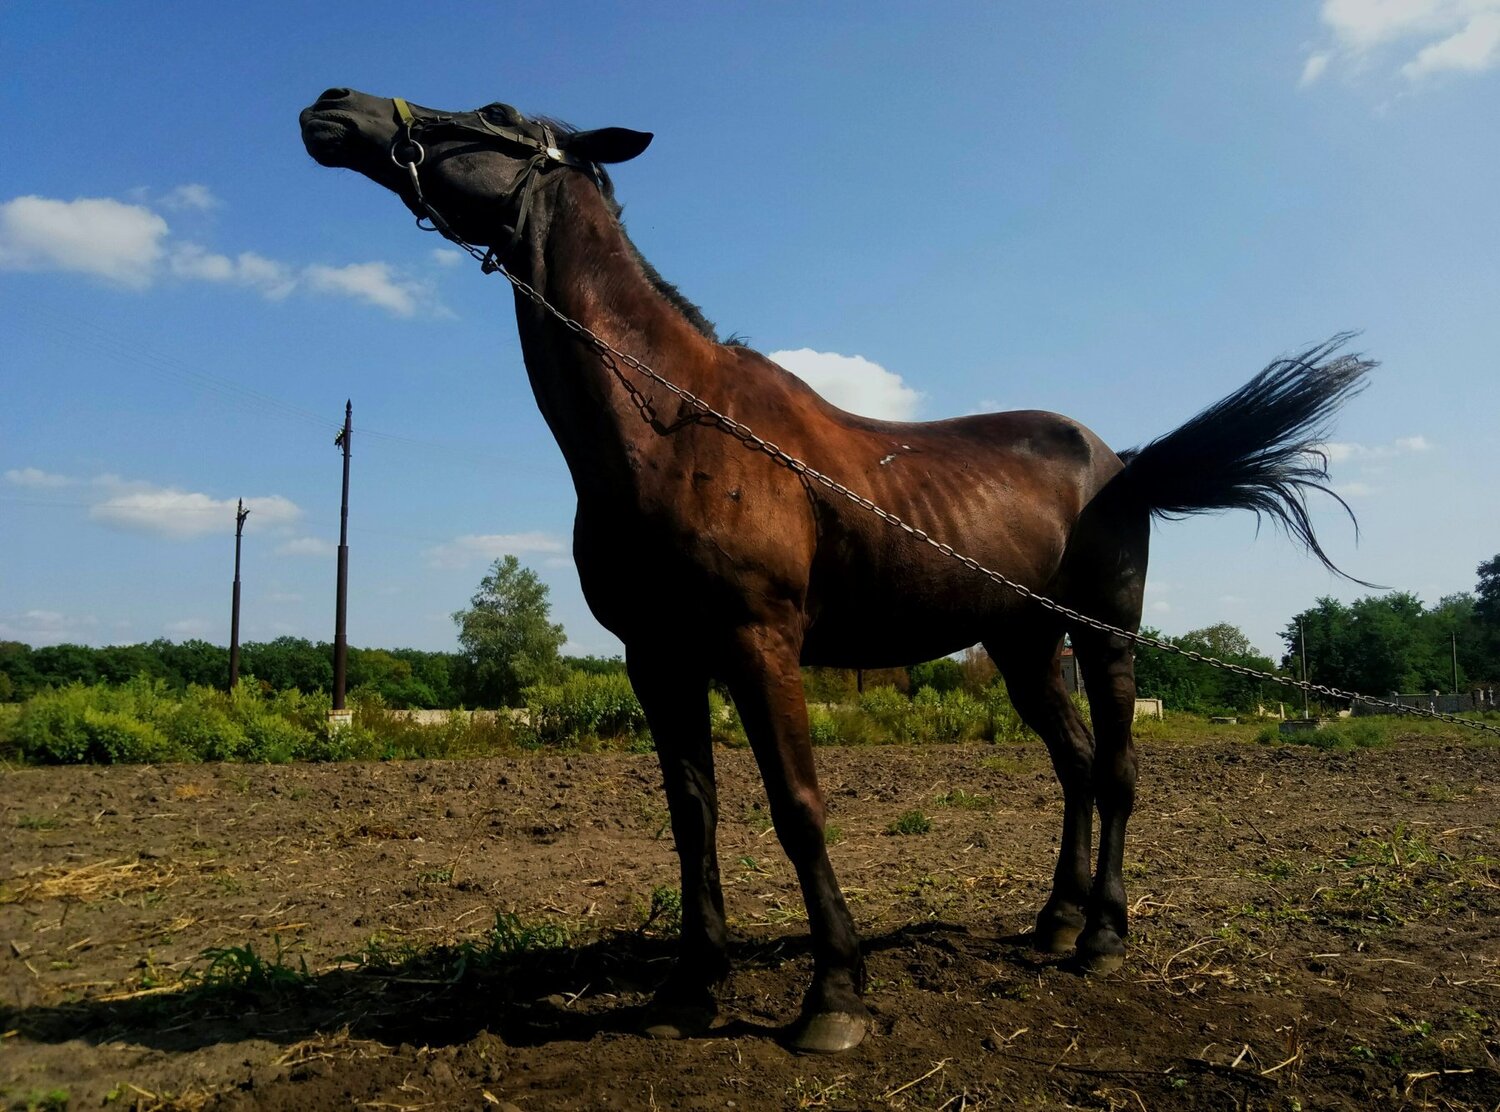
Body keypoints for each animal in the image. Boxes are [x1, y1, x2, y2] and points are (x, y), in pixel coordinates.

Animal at [300, 89, 1373, 1053]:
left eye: (494, 115)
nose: (333, 108)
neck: (672, 424)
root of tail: (1122, 463)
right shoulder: (658, 657)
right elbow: (693, 815)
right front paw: (690, 988)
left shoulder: (758, 642)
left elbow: (797, 809)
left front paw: (836, 997)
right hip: (1024, 644)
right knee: (1072, 766)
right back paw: (1053, 921)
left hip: (1104, 637)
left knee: (1114, 772)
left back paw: (1102, 937)